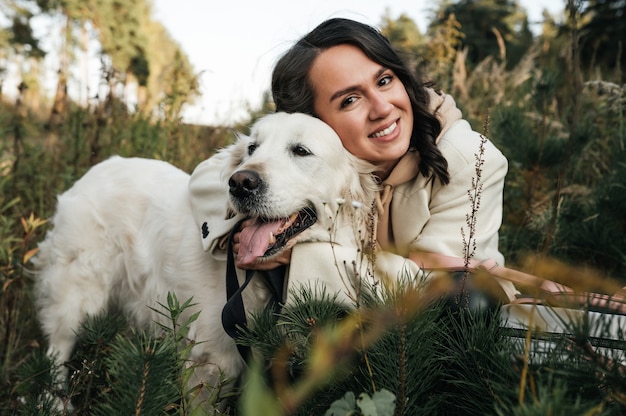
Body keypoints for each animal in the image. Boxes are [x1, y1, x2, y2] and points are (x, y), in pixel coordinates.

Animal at [33, 112, 376, 408]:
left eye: (301, 151)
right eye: (252, 148)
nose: (240, 182)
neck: (268, 279)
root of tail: (101, 166)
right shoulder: (211, 361)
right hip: (77, 292)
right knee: (57, 348)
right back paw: (55, 402)